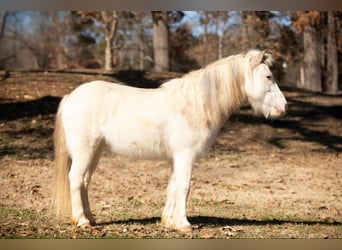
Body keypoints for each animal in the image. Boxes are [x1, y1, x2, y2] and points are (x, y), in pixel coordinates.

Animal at [54, 49, 288, 231]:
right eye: (269, 77)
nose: (283, 107)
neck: (196, 105)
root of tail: (70, 97)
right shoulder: (186, 156)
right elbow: (184, 187)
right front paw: (184, 224)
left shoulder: (177, 158)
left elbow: (173, 187)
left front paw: (169, 221)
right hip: (85, 151)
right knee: (75, 179)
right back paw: (82, 221)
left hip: (95, 152)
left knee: (84, 182)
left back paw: (90, 218)